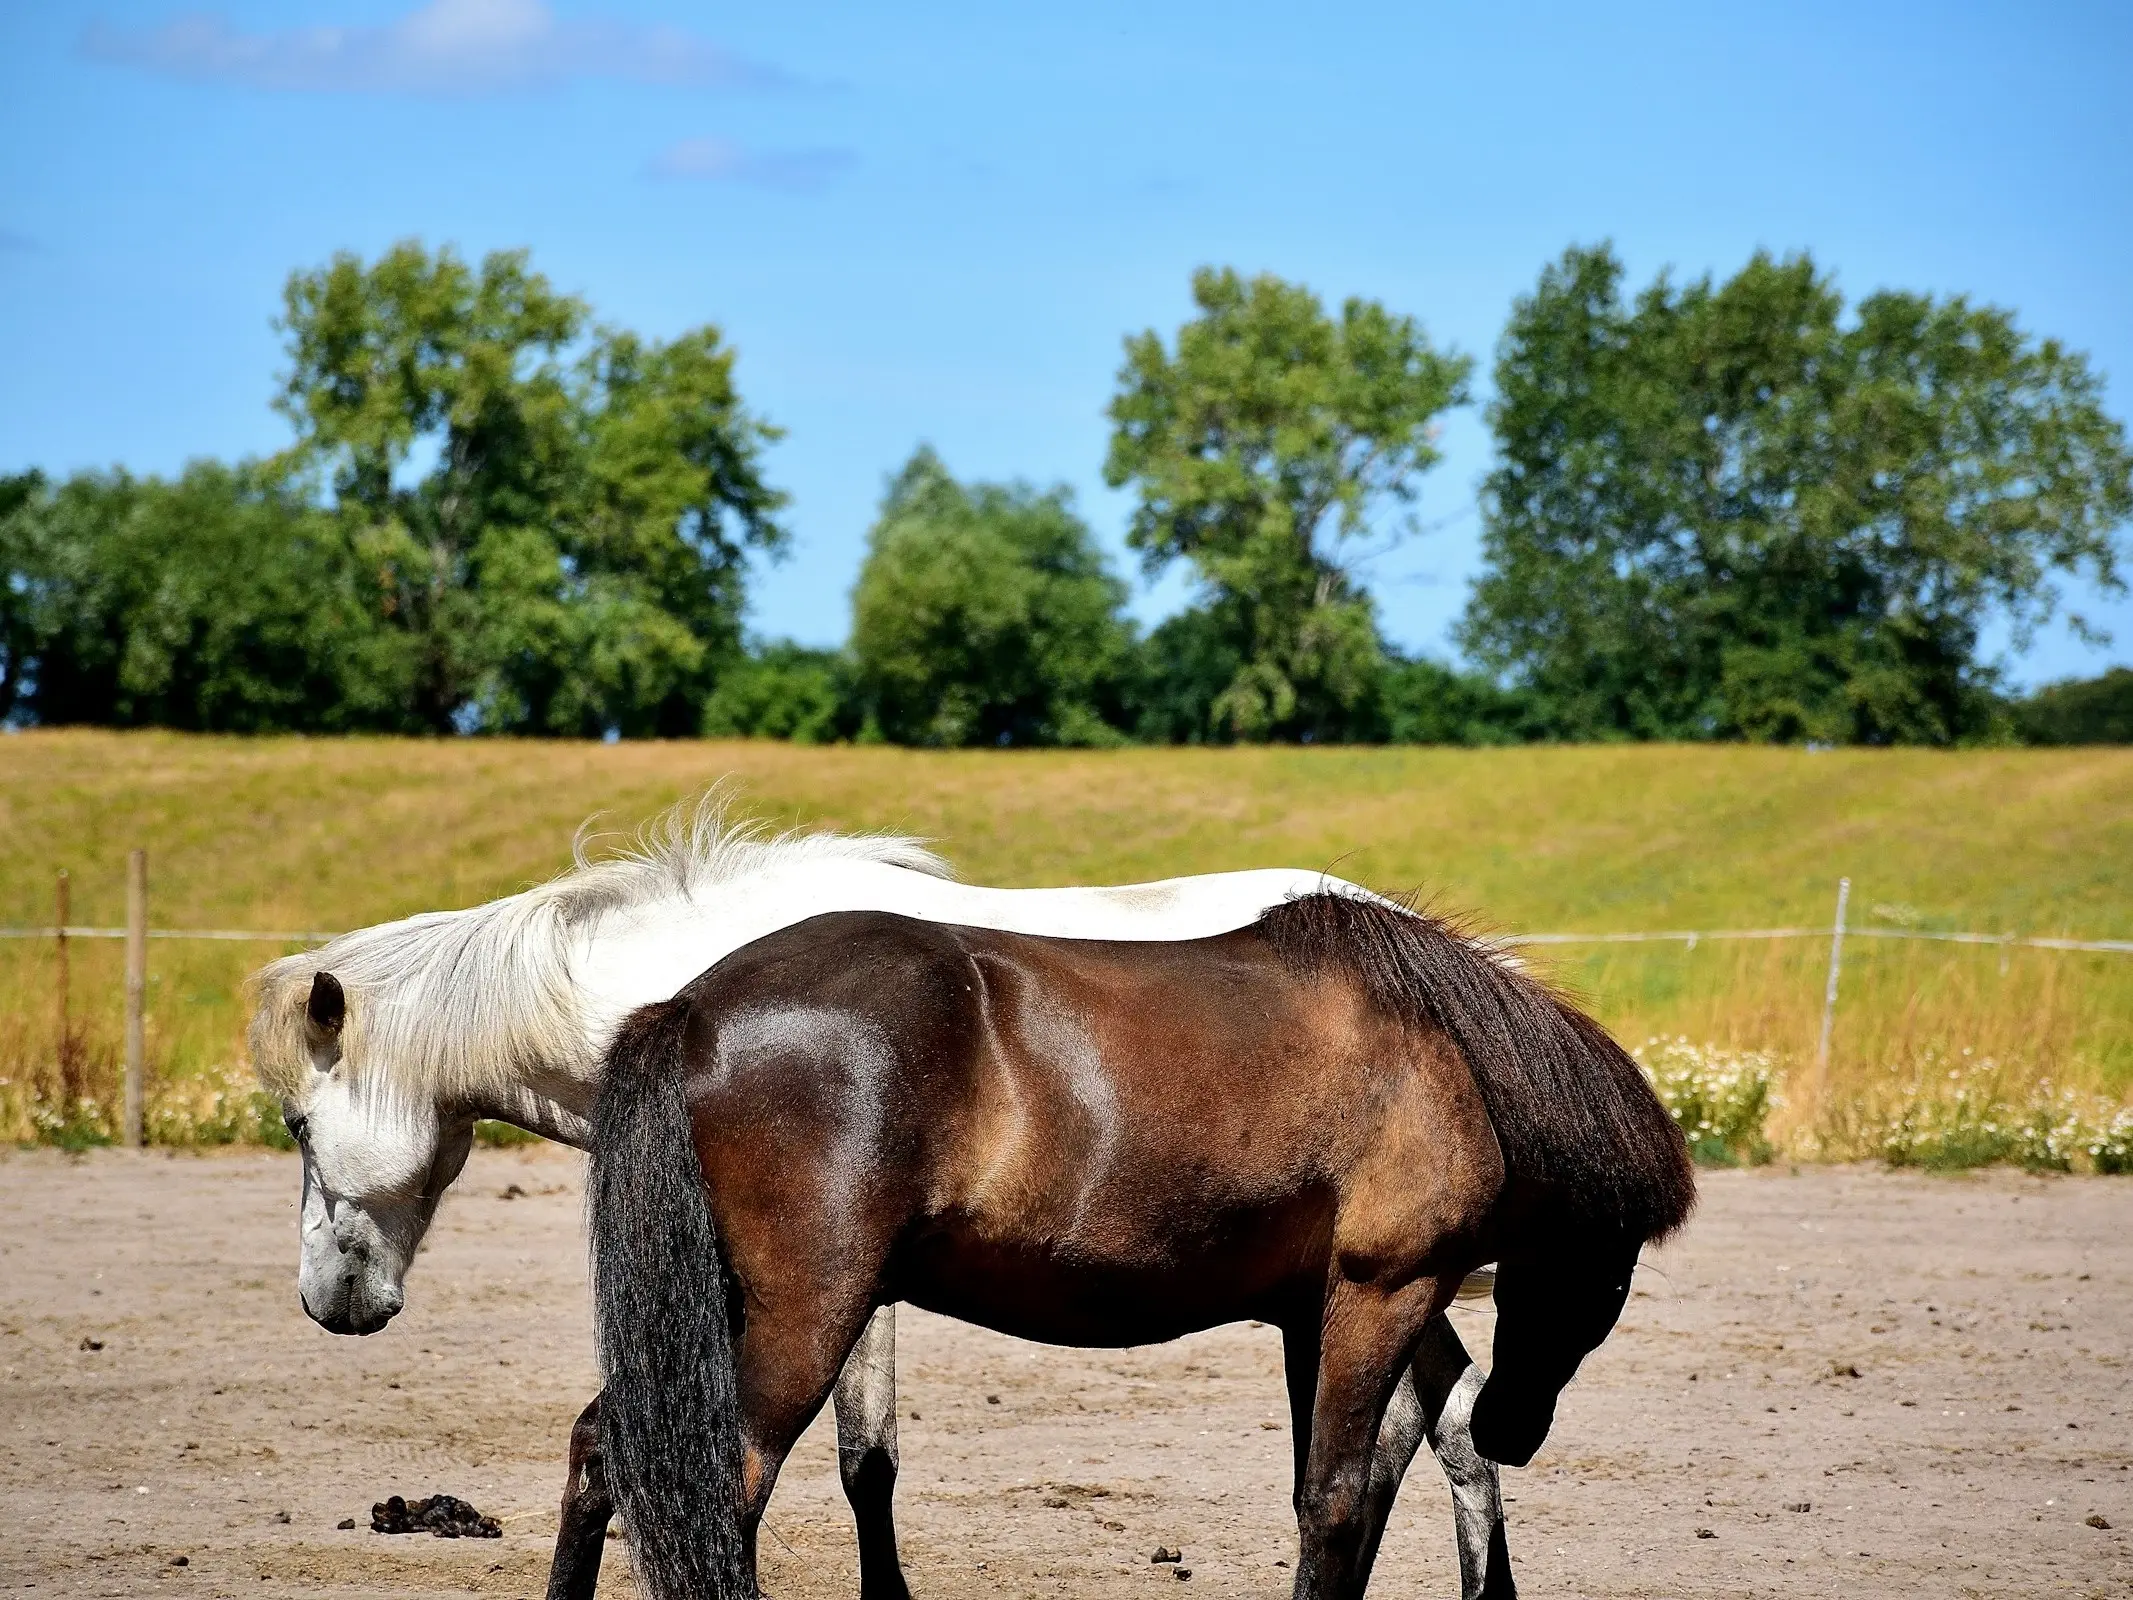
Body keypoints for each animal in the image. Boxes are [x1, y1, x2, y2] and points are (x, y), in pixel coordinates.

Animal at [249, 802, 1535, 1600]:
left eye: (299, 1124)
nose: (331, 1302)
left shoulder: (844, 1287)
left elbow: (861, 1457)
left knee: (1436, 1434)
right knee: (1442, 1433)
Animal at [592, 896, 1689, 1600]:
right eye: (1613, 1270)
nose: (1515, 1426)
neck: (1447, 1061)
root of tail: (690, 1008)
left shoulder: (1316, 1314)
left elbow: (1350, 1491)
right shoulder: (1385, 1293)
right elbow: (1339, 1500)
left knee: (604, 1451)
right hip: (806, 1317)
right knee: (717, 1486)